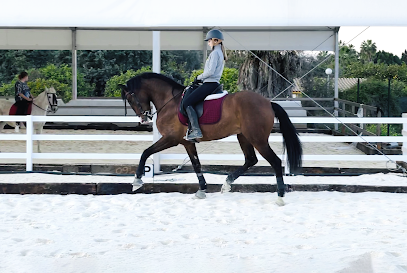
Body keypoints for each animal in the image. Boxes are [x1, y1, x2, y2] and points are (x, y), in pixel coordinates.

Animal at [119, 72, 302, 204]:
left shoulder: (171, 138)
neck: (169, 101)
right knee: (250, 160)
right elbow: (196, 165)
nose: (144, 119)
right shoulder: (187, 142)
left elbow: (145, 152)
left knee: (275, 161)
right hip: (243, 136)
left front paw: (136, 181)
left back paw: (280, 197)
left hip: (257, 139)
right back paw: (227, 184)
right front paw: (201, 190)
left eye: (130, 98)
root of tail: (268, 103)